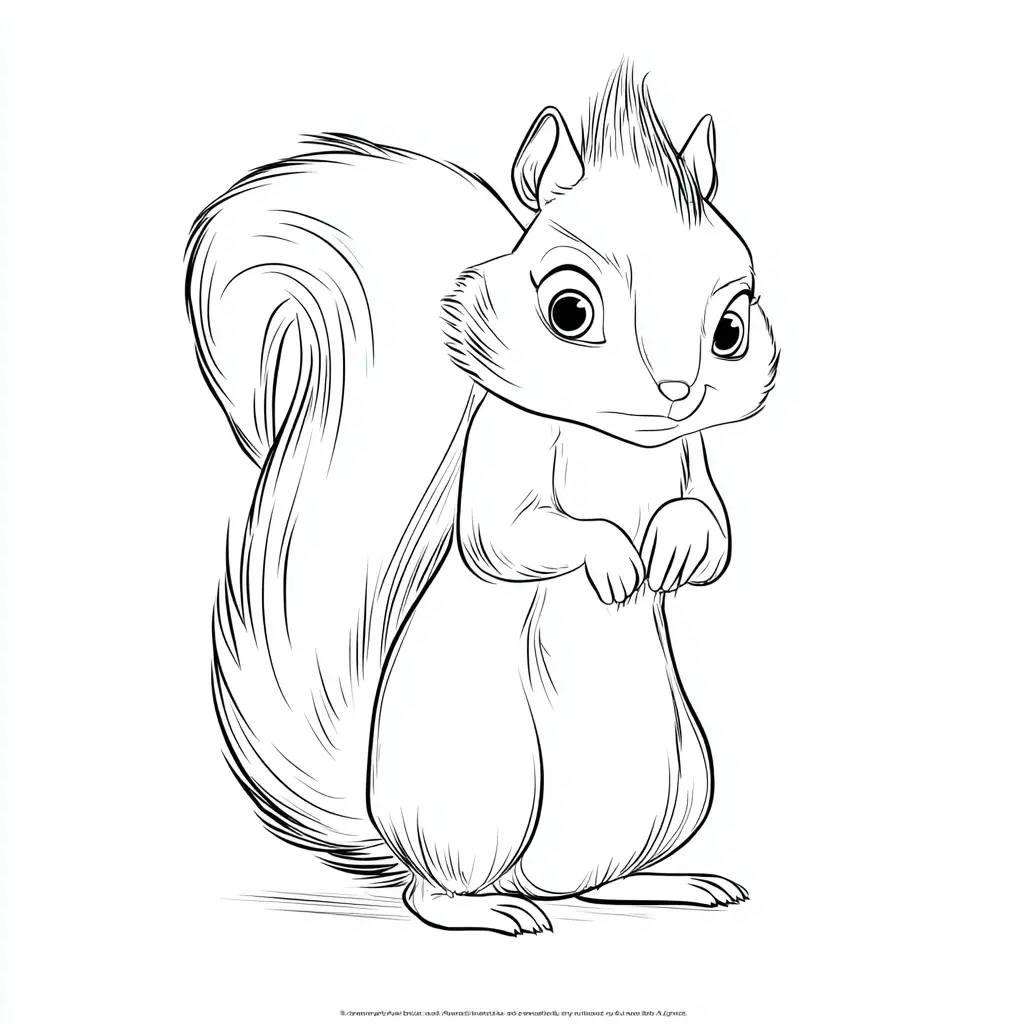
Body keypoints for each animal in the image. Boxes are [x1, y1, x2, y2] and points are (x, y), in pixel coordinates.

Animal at [185, 63, 778, 936]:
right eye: (569, 311)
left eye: (730, 328)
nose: (677, 391)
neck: (618, 443)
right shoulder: (504, 448)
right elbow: (505, 535)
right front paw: (615, 557)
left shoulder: (688, 456)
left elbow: (712, 523)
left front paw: (676, 546)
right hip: (483, 792)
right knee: (432, 893)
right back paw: (491, 911)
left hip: (676, 783)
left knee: (593, 882)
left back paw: (664, 884)